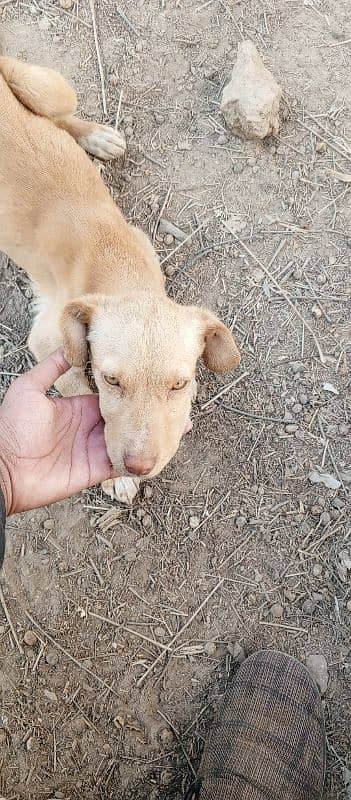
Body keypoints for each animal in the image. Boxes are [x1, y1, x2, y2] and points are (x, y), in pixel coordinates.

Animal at [0, 59, 242, 504]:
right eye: (111, 380)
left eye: (179, 384)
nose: (139, 467)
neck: (119, 268)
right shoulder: (46, 341)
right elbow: (81, 391)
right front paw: (114, 476)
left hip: (50, 89)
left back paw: (96, 136)